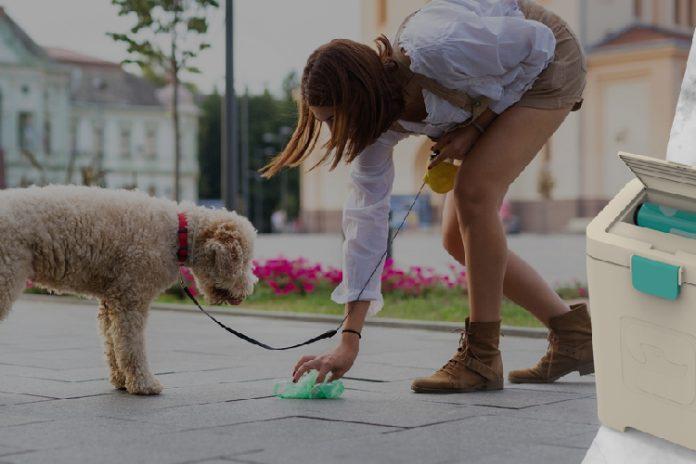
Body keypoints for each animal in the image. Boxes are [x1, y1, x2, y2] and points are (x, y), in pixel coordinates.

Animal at [0, 185, 258, 396]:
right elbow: (131, 346)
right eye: (244, 260)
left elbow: (112, 344)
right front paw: (144, 384)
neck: (178, 234)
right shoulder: (132, 298)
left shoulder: (110, 301)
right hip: (6, 276)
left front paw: (121, 380)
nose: (248, 290)